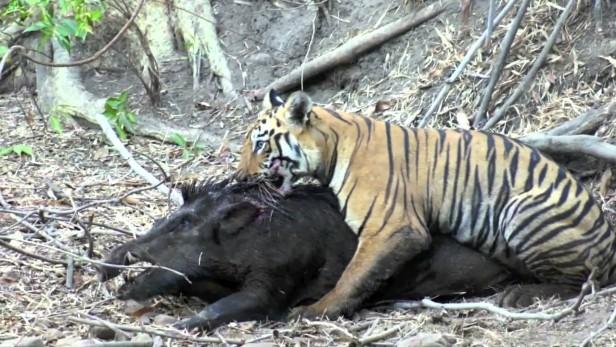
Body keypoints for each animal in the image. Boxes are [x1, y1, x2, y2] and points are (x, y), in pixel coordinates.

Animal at [235, 89, 616, 318]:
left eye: (260, 145)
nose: (239, 178)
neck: (331, 146)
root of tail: (609, 242)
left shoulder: (393, 227)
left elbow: (353, 276)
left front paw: (318, 310)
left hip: (521, 212)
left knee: (583, 282)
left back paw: (518, 296)